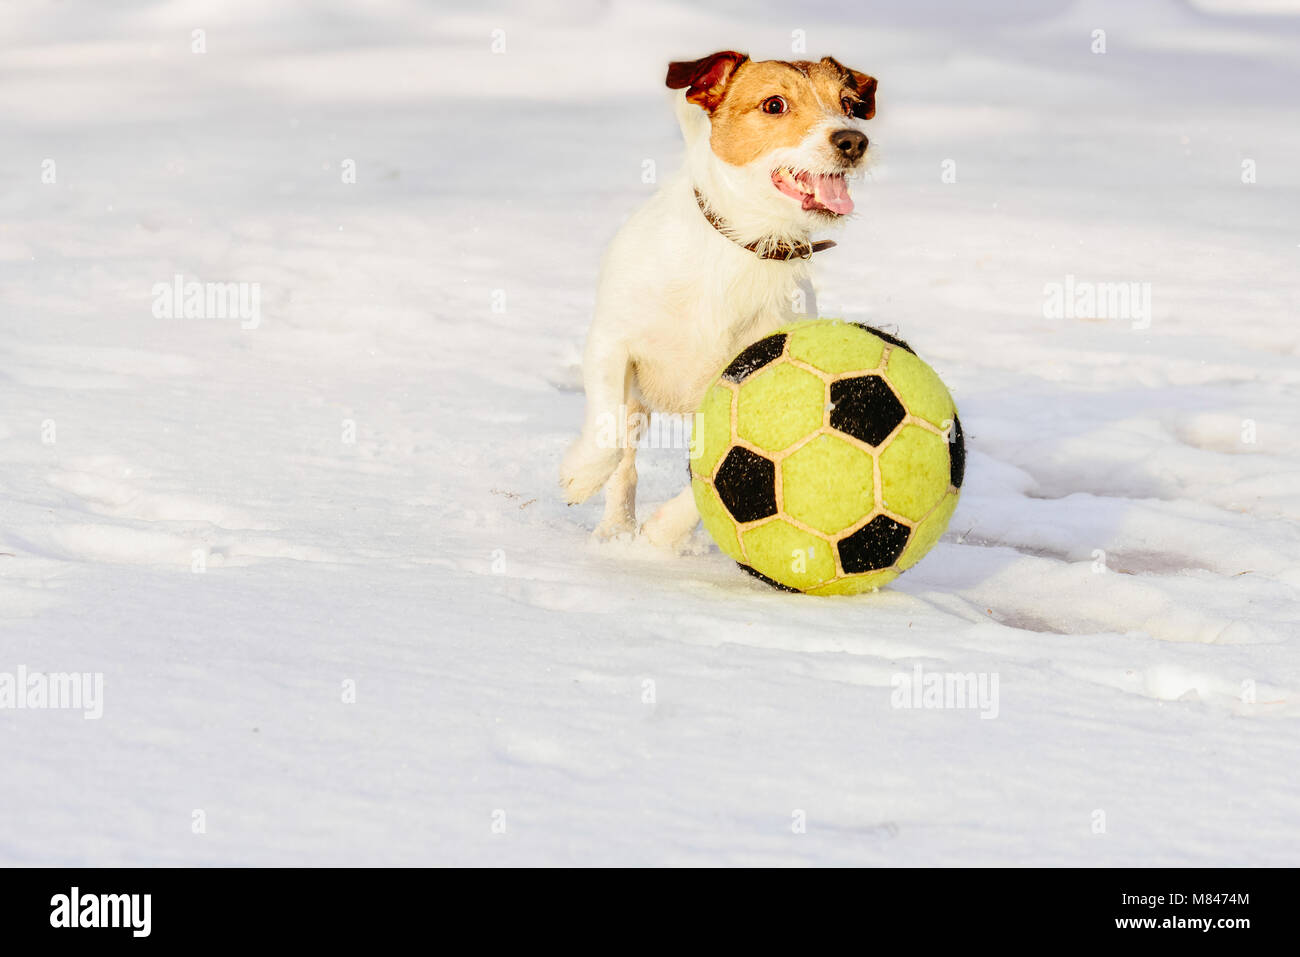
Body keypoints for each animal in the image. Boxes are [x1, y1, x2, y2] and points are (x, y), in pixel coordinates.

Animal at [559, 50, 873, 546]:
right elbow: (608, 432)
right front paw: (581, 475)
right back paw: (615, 528)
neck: (744, 247)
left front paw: (663, 533)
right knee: (626, 458)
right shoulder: (611, 342)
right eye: (774, 105)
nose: (853, 140)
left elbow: (716, 477)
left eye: (848, 104)